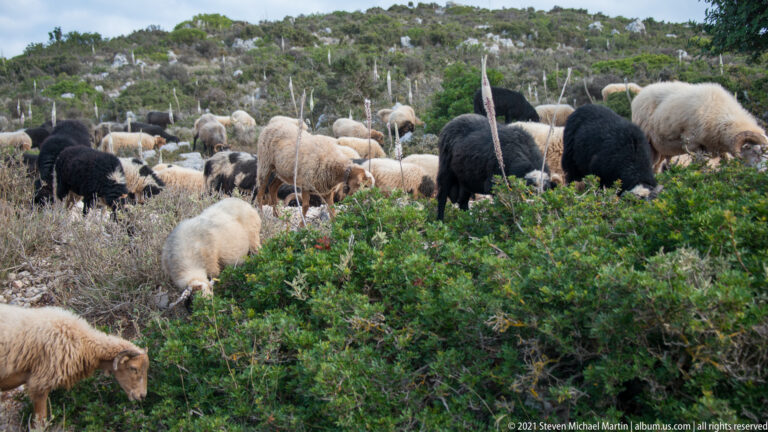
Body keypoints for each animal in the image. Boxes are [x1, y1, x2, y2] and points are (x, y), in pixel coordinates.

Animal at [636, 82, 767, 170]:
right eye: (755, 150)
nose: (763, 170)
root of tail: (643, 91)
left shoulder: (719, 149)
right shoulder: (694, 146)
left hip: (664, 149)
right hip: (649, 143)